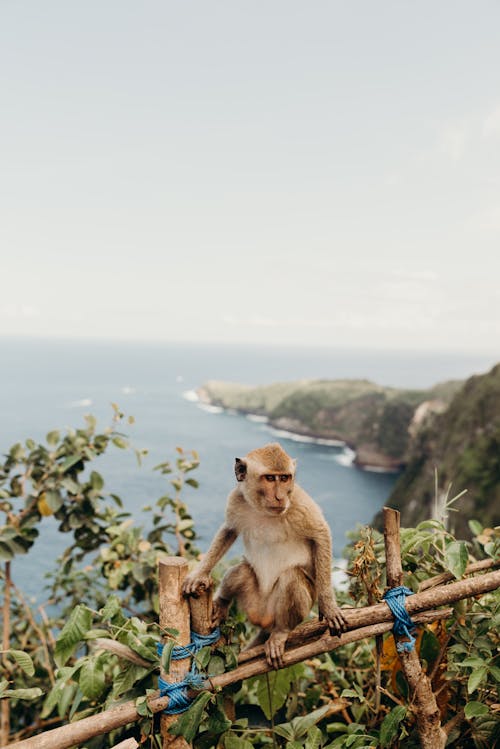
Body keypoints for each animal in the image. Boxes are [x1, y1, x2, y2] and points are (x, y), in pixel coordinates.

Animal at [184, 442, 348, 668]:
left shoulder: (298, 502)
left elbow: (321, 535)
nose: (280, 497)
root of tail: (264, 621)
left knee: (292, 578)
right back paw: (223, 602)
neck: (263, 510)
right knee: (242, 571)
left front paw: (329, 606)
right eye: (270, 478)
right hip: (253, 603)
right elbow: (229, 530)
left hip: (282, 611)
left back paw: (281, 632)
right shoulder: (237, 499)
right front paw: (199, 574)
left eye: (285, 478)